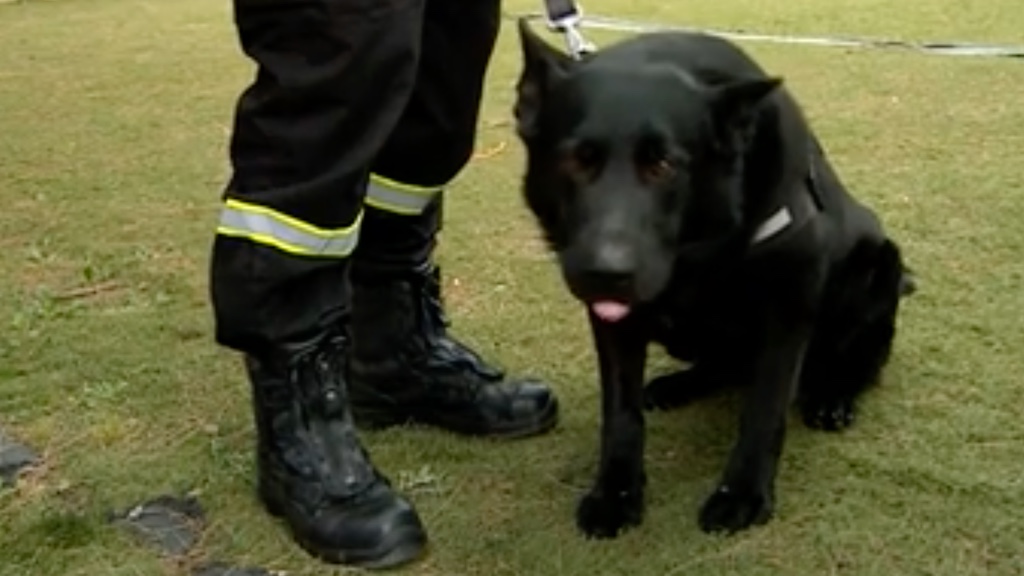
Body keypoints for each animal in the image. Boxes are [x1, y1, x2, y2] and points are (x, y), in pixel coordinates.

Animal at [509, 19, 913, 537]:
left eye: (662, 165)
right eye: (578, 160)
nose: (606, 272)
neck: (698, 250)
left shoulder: (789, 306)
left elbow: (764, 410)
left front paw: (742, 494)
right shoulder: (613, 320)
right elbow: (620, 414)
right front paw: (616, 493)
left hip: (880, 266)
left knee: (862, 359)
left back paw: (834, 393)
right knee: (722, 366)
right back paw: (678, 385)